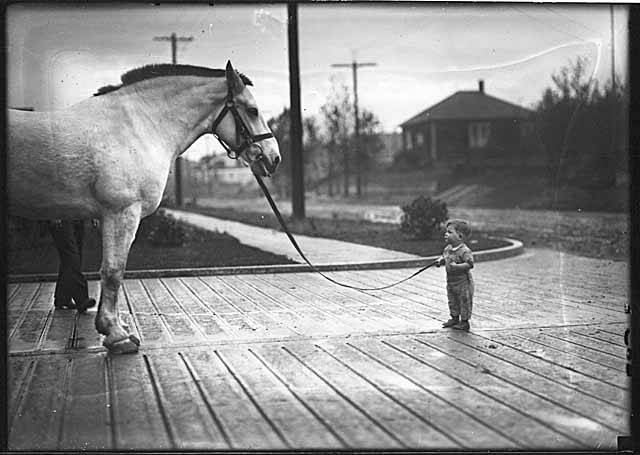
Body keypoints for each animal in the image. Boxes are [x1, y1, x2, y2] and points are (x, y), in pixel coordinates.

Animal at [8, 60, 280, 354]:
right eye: (252, 110)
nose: (274, 157)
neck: (138, 127)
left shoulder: (107, 217)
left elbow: (111, 271)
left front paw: (114, 327)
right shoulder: (122, 212)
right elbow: (113, 272)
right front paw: (116, 335)